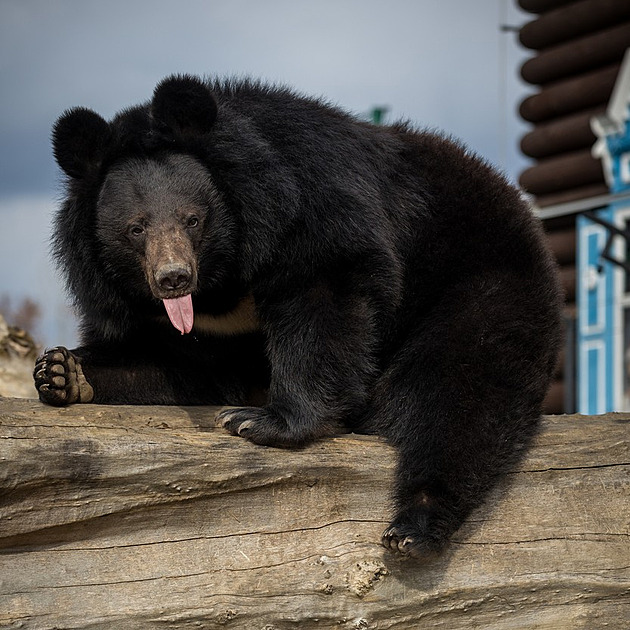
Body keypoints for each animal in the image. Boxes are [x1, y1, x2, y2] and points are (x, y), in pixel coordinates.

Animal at [35, 76, 564, 560]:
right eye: (136, 229)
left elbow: (322, 300)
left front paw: (256, 420)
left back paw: (413, 527)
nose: (173, 278)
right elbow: (177, 364)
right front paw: (62, 372)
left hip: (480, 280)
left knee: (459, 389)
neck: (221, 285)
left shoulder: (311, 203)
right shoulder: (162, 318)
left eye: (192, 219)